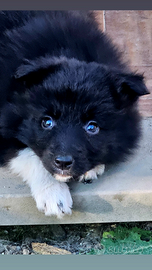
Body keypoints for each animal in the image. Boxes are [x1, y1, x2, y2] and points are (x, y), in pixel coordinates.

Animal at [0, 10, 148, 218]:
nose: (63, 163)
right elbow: (29, 154)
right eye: (47, 122)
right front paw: (53, 194)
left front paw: (92, 167)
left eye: (92, 127)